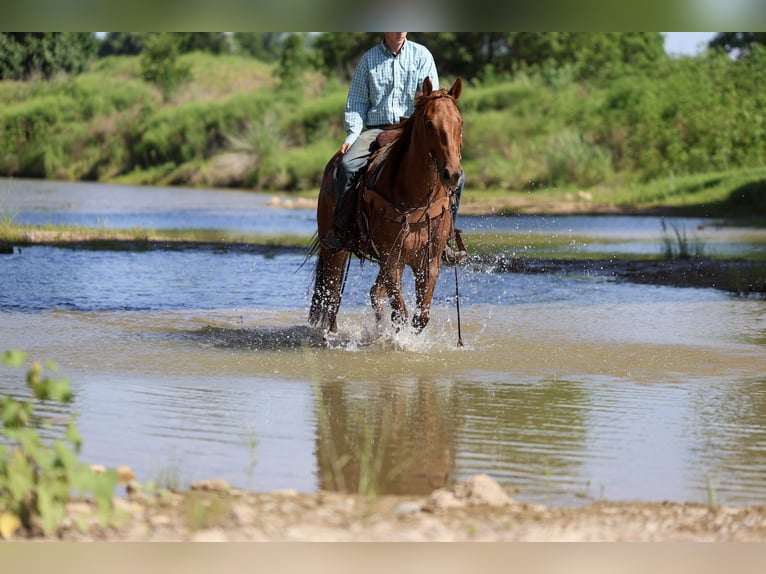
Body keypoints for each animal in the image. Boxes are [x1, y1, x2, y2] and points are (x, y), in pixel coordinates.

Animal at [309, 76, 463, 335]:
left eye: (460, 123)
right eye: (429, 123)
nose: (452, 174)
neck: (416, 198)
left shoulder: (429, 261)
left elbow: (420, 317)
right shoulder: (392, 259)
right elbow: (401, 313)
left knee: (374, 292)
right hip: (333, 250)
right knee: (331, 294)